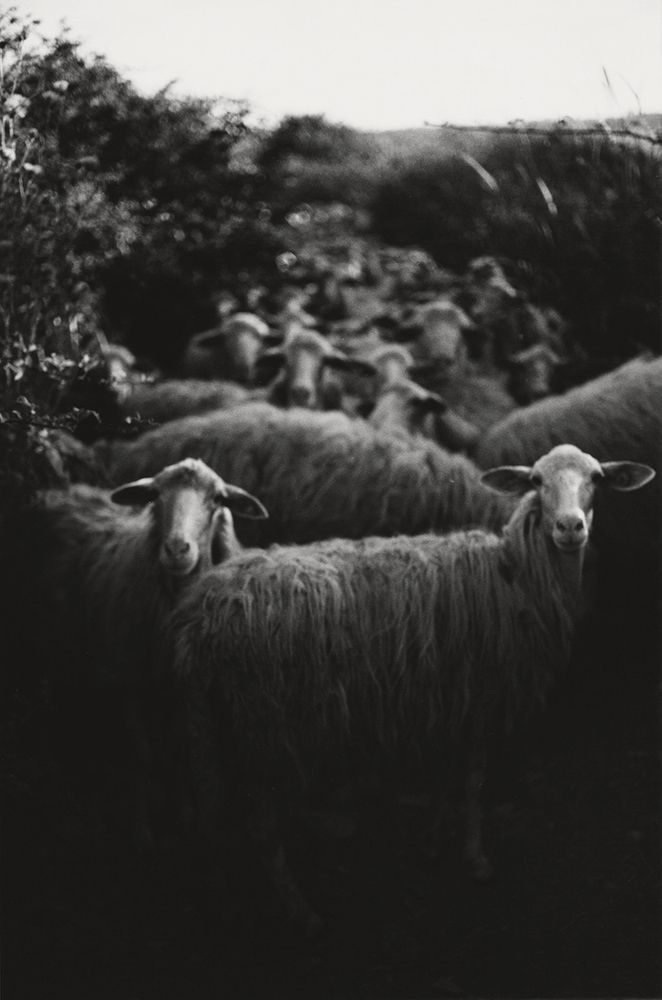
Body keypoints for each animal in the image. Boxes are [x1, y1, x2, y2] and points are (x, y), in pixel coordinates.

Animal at [2, 458, 267, 848]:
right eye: (155, 496)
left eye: (219, 499)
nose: (177, 549)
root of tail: (64, 490)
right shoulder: (130, 679)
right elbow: (142, 756)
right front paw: (141, 830)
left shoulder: (182, 689)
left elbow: (178, 750)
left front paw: (184, 816)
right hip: (46, 639)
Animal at [169, 443, 654, 931]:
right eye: (536, 481)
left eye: (596, 478)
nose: (570, 527)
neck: (517, 574)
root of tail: (201, 614)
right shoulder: (480, 693)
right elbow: (472, 782)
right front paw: (475, 857)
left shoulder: (448, 695)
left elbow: (447, 775)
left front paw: (435, 838)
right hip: (263, 725)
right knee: (261, 829)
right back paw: (301, 910)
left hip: (209, 720)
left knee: (212, 819)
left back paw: (222, 896)